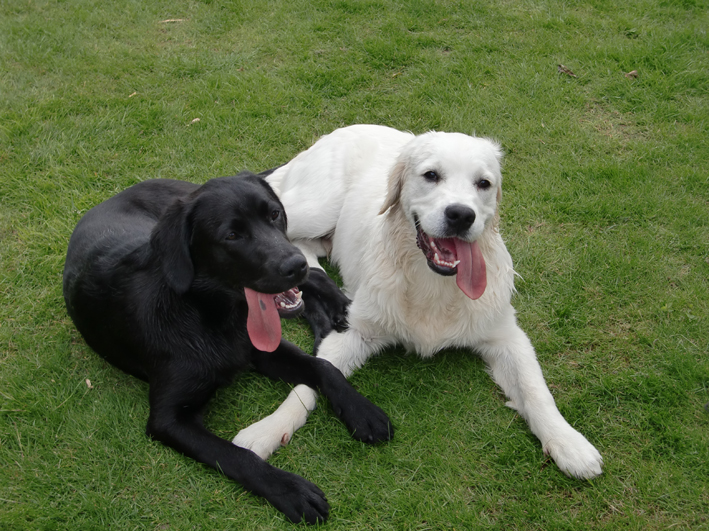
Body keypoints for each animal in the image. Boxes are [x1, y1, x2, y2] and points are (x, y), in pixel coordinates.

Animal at [63, 174, 392, 524]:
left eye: (274, 214)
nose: (295, 265)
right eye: (232, 235)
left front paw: (362, 410)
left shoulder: (261, 348)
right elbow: (235, 455)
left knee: (317, 278)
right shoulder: (168, 419)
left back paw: (342, 307)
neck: (207, 313)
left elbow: (323, 367)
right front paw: (292, 490)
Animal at [234, 125, 604, 482]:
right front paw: (267, 430)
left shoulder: (506, 337)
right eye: (431, 175)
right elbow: (312, 380)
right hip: (312, 208)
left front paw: (569, 442)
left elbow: (535, 390)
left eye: (483, 183)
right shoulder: (356, 331)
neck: (433, 284)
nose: (461, 215)